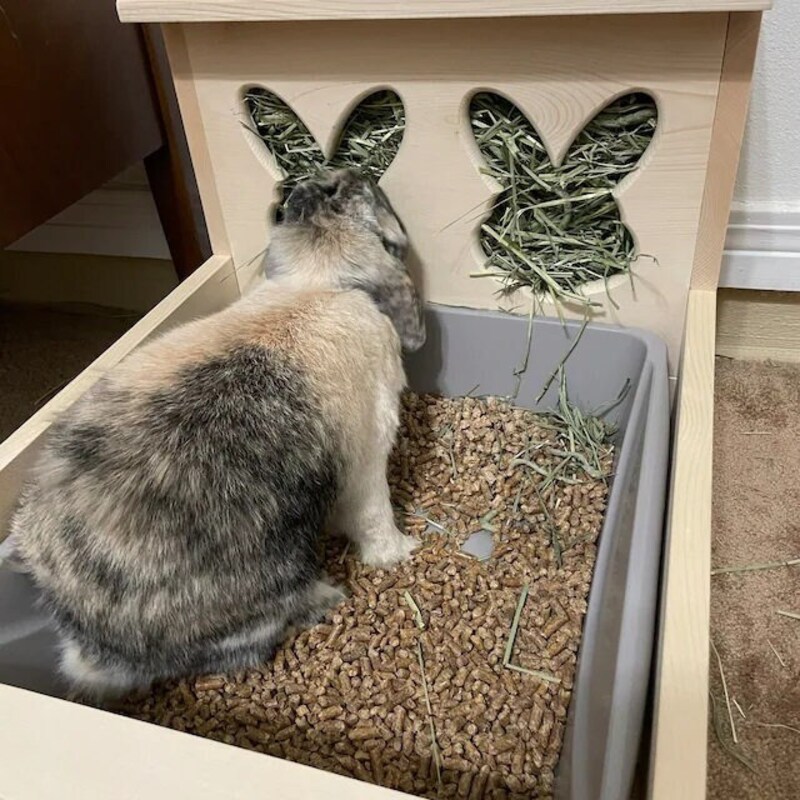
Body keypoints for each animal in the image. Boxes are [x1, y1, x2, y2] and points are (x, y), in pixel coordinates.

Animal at [12, 167, 425, 700]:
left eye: (325, 189)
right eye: (360, 195)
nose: (358, 172)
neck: (319, 282)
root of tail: (88, 638)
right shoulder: (368, 457)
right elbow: (374, 516)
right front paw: (400, 552)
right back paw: (325, 597)